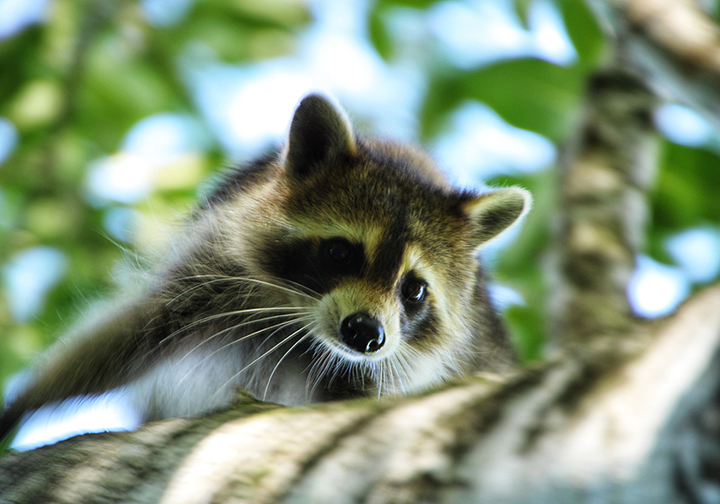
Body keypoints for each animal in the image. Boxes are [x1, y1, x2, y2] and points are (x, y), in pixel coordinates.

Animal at [0, 93, 528, 440]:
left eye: (414, 289)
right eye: (342, 253)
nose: (366, 334)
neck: (302, 315)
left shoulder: (397, 360)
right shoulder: (212, 261)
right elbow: (134, 333)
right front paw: (25, 402)